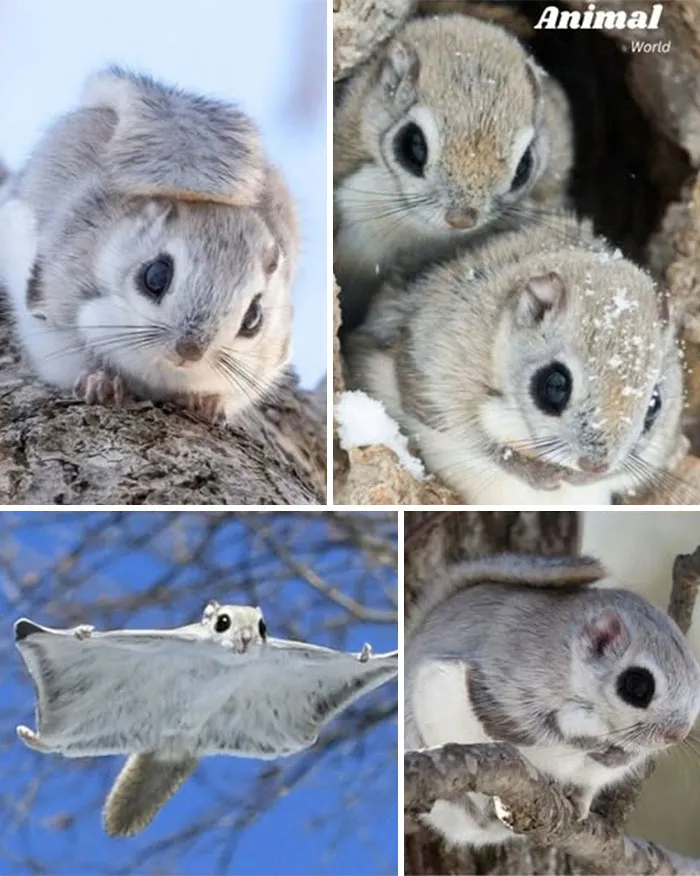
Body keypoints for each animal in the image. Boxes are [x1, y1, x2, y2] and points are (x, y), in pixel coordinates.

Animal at [345, 213, 686, 505]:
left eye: (654, 405)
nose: (594, 465)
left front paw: (581, 478)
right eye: (555, 385)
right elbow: (481, 444)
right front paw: (537, 473)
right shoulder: (439, 370)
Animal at [404, 552, 700, 847]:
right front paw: (590, 742)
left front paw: (615, 754)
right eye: (637, 686)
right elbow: (541, 729)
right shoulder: (511, 685)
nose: (675, 735)